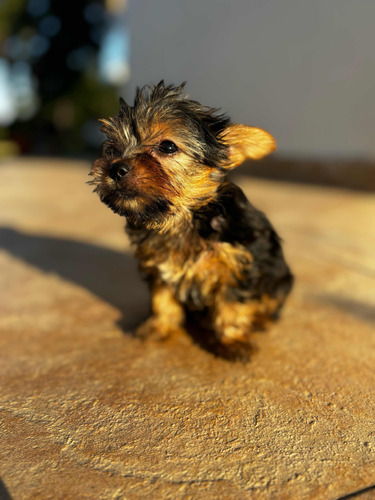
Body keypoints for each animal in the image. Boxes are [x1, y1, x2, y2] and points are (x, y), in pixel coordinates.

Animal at [90, 81, 294, 356]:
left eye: (167, 146)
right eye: (111, 149)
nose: (115, 168)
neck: (181, 220)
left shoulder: (237, 264)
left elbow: (232, 305)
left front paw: (232, 340)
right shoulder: (159, 266)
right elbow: (163, 299)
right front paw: (160, 327)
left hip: (280, 279)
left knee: (271, 301)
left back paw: (260, 319)